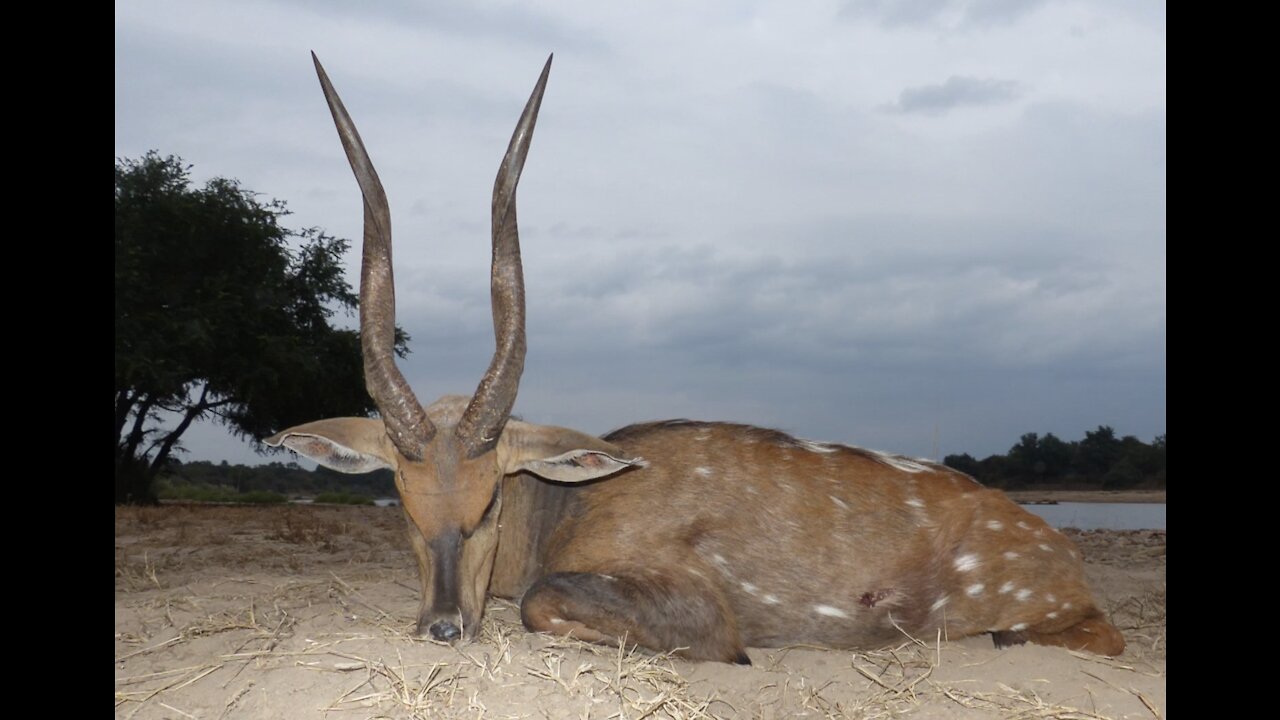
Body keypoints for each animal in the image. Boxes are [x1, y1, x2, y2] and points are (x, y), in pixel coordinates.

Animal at [264, 54, 1126, 661]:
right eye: (405, 507)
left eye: (489, 505)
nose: (442, 628)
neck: (566, 505)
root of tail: (1055, 545)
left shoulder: (693, 606)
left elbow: (548, 603)